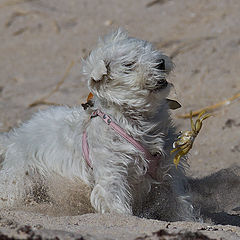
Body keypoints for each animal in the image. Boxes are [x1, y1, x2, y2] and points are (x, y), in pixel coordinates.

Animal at [0, 29, 198, 221]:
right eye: (128, 64)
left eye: (150, 50)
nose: (160, 62)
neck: (137, 122)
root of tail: (16, 135)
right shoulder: (112, 175)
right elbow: (116, 205)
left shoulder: (168, 175)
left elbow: (180, 206)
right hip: (20, 181)